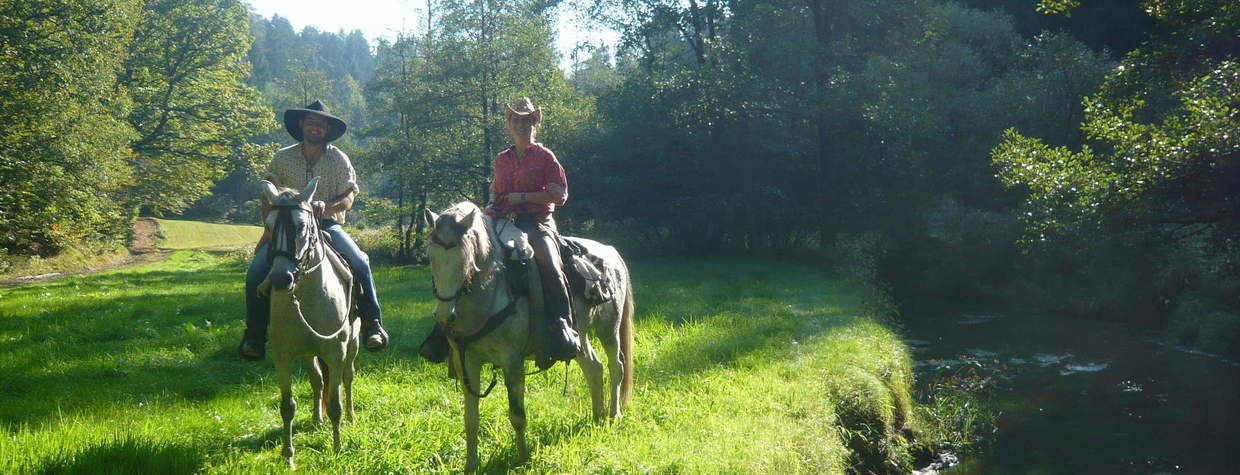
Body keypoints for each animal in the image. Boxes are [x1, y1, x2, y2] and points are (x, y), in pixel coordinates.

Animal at [257, 178, 362, 468]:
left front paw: (337, 449)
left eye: (302, 226)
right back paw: (317, 419)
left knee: (347, 378)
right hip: (308, 353)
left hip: (353, 345)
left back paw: (350, 418)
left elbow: (335, 402)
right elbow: (287, 406)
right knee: (317, 381)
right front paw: (288, 457)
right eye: (268, 225)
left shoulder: (335, 351)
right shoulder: (283, 355)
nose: (281, 279)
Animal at [426, 202, 639, 471]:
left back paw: (613, 414)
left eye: (465, 260)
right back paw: (596, 416)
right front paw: (471, 465)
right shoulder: (467, 362)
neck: (490, 294)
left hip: (608, 328)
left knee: (616, 366)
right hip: (579, 336)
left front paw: (522, 459)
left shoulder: (512, 362)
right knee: (594, 367)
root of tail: (611, 252)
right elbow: (470, 418)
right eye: (431, 258)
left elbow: (517, 415)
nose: (445, 315)